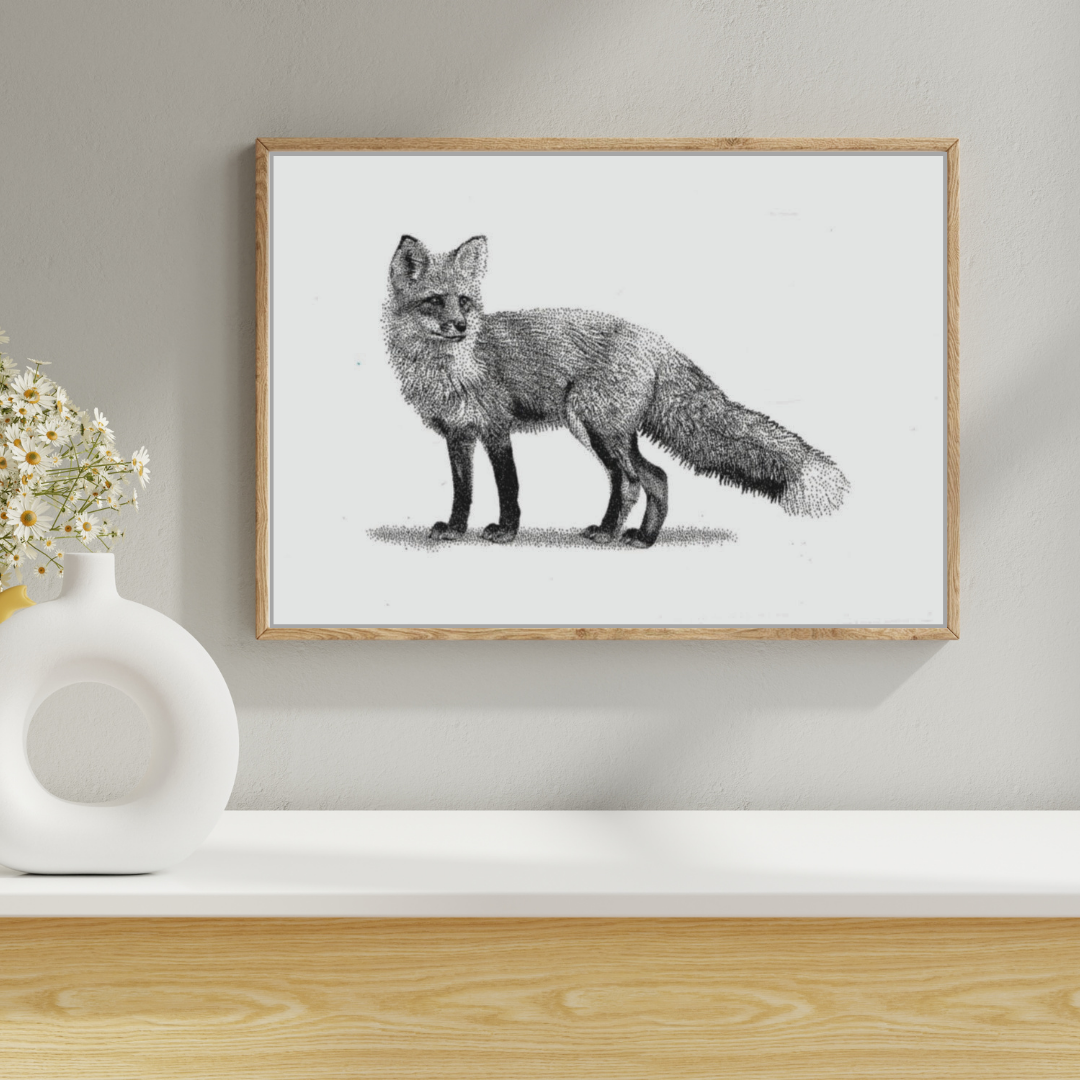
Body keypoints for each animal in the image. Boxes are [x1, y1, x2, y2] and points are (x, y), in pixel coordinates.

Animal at [382, 234, 848, 548]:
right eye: (435, 301)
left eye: (464, 301)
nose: (460, 326)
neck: (449, 368)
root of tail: (658, 342)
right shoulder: (458, 434)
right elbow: (463, 490)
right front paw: (455, 529)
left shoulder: (496, 428)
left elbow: (508, 486)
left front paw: (506, 532)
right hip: (597, 433)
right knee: (633, 482)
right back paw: (616, 532)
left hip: (597, 428)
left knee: (649, 477)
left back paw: (639, 538)